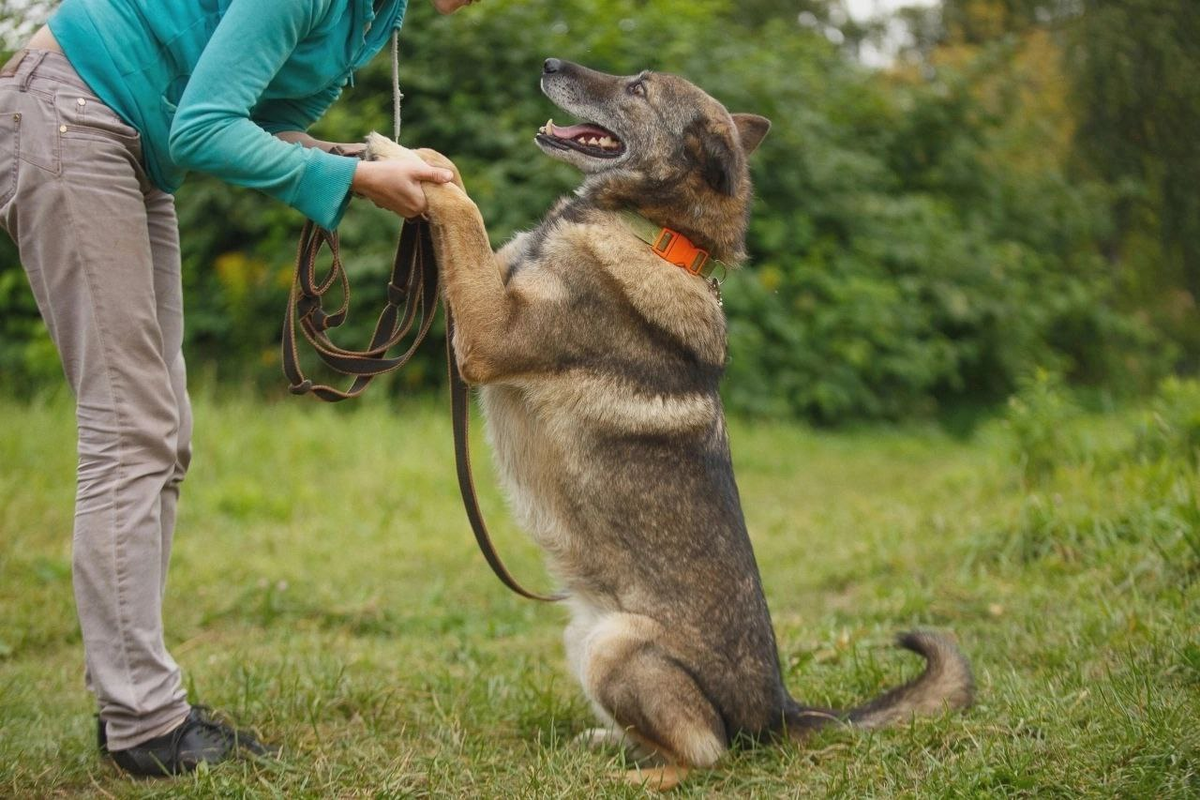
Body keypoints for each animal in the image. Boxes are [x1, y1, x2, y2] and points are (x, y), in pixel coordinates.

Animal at [367, 61, 974, 786]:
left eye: (638, 88)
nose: (549, 65)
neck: (654, 233)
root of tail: (782, 712)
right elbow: (457, 187)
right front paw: (422, 157)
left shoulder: (487, 333)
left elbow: (464, 211)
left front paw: (392, 155)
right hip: (586, 638)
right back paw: (606, 745)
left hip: (615, 646)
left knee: (705, 754)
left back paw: (635, 777)